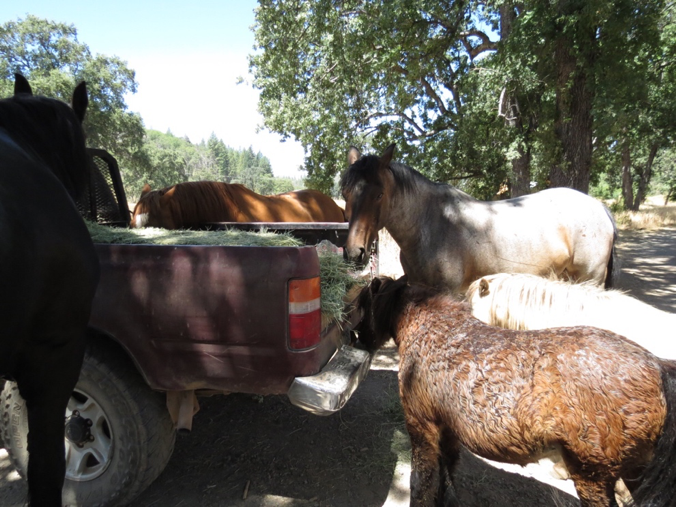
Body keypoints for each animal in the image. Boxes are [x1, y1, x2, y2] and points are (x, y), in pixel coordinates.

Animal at [344, 145, 616, 292]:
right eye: (345, 192)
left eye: (379, 194)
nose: (354, 253)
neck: (430, 226)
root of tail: (600, 207)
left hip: (589, 279)